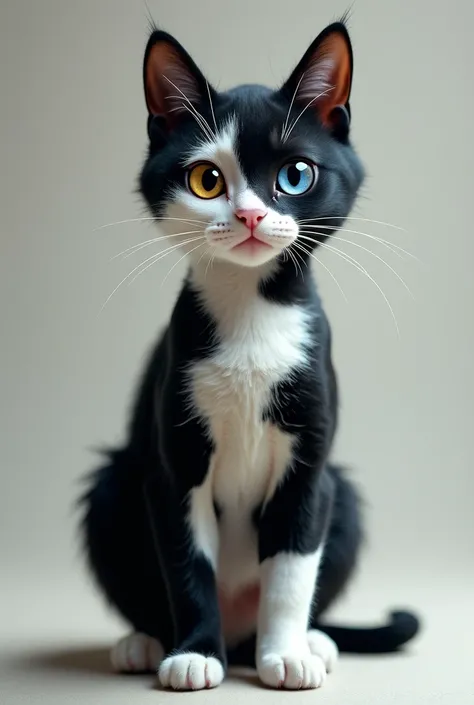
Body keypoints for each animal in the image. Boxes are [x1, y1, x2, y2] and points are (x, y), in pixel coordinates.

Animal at [79, 19, 420, 692]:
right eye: (206, 180)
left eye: (296, 175)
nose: (251, 214)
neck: (252, 312)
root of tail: (241, 634)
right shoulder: (174, 462)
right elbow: (187, 562)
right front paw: (192, 654)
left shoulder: (311, 457)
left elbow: (292, 565)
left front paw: (285, 653)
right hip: (115, 485)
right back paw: (146, 640)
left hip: (343, 493)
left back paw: (310, 640)